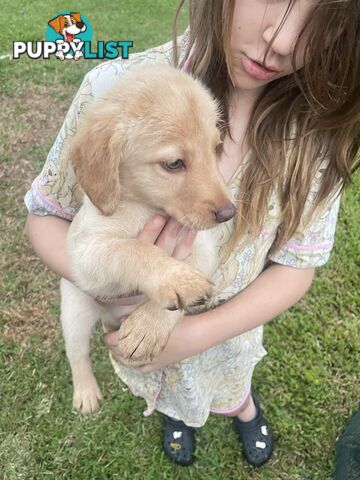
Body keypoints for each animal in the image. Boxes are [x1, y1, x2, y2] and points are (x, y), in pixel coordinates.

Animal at [61, 62, 236, 412]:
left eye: (215, 149)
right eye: (174, 163)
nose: (229, 213)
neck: (144, 206)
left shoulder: (203, 248)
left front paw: (147, 328)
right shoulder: (88, 249)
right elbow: (133, 250)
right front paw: (176, 280)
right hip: (74, 309)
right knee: (78, 354)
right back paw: (85, 393)